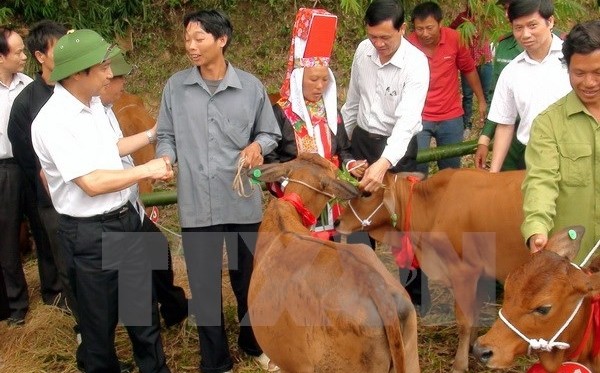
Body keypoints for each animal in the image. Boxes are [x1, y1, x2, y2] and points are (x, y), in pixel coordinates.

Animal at [338, 167, 528, 370]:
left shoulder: (463, 272)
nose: (337, 222)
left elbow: (464, 320)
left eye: (367, 193)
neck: (435, 205)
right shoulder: (478, 274)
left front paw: (460, 364)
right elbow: (474, 310)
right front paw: (472, 346)